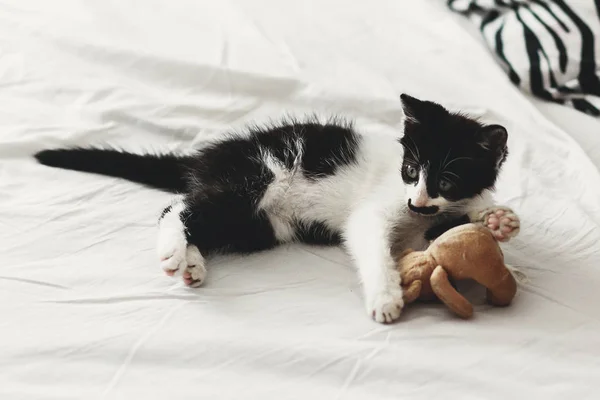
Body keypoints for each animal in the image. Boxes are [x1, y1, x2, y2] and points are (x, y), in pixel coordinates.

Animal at [35, 95, 516, 324]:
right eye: (412, 168)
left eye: (446, 181)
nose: (416, 200)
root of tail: (207, 158)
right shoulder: (376, 210)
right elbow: (374, 246)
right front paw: (385, 296)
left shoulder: (423, 221)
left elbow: (441, 230)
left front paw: (494, 218)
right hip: (255, 179)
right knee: (177, 205)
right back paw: (174, 252)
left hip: (261, 225)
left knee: (205, 220)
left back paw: (192, 263)